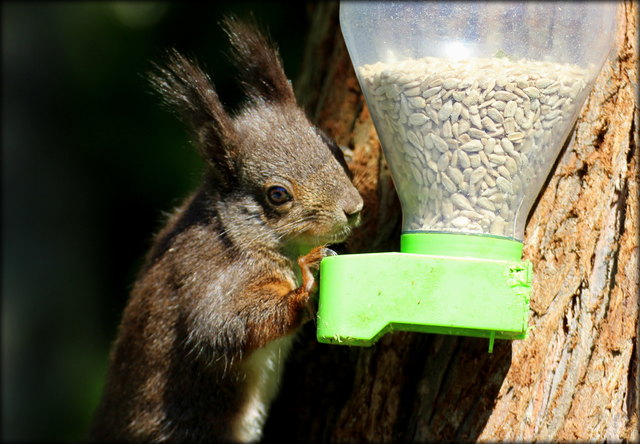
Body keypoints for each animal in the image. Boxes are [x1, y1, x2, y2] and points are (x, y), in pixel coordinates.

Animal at [87, 15, 362, 442]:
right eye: (278, 195)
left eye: (330, 144)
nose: (353, 209)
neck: (237, 233)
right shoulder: (213, 277)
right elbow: (218, 328)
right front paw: (307, 288)